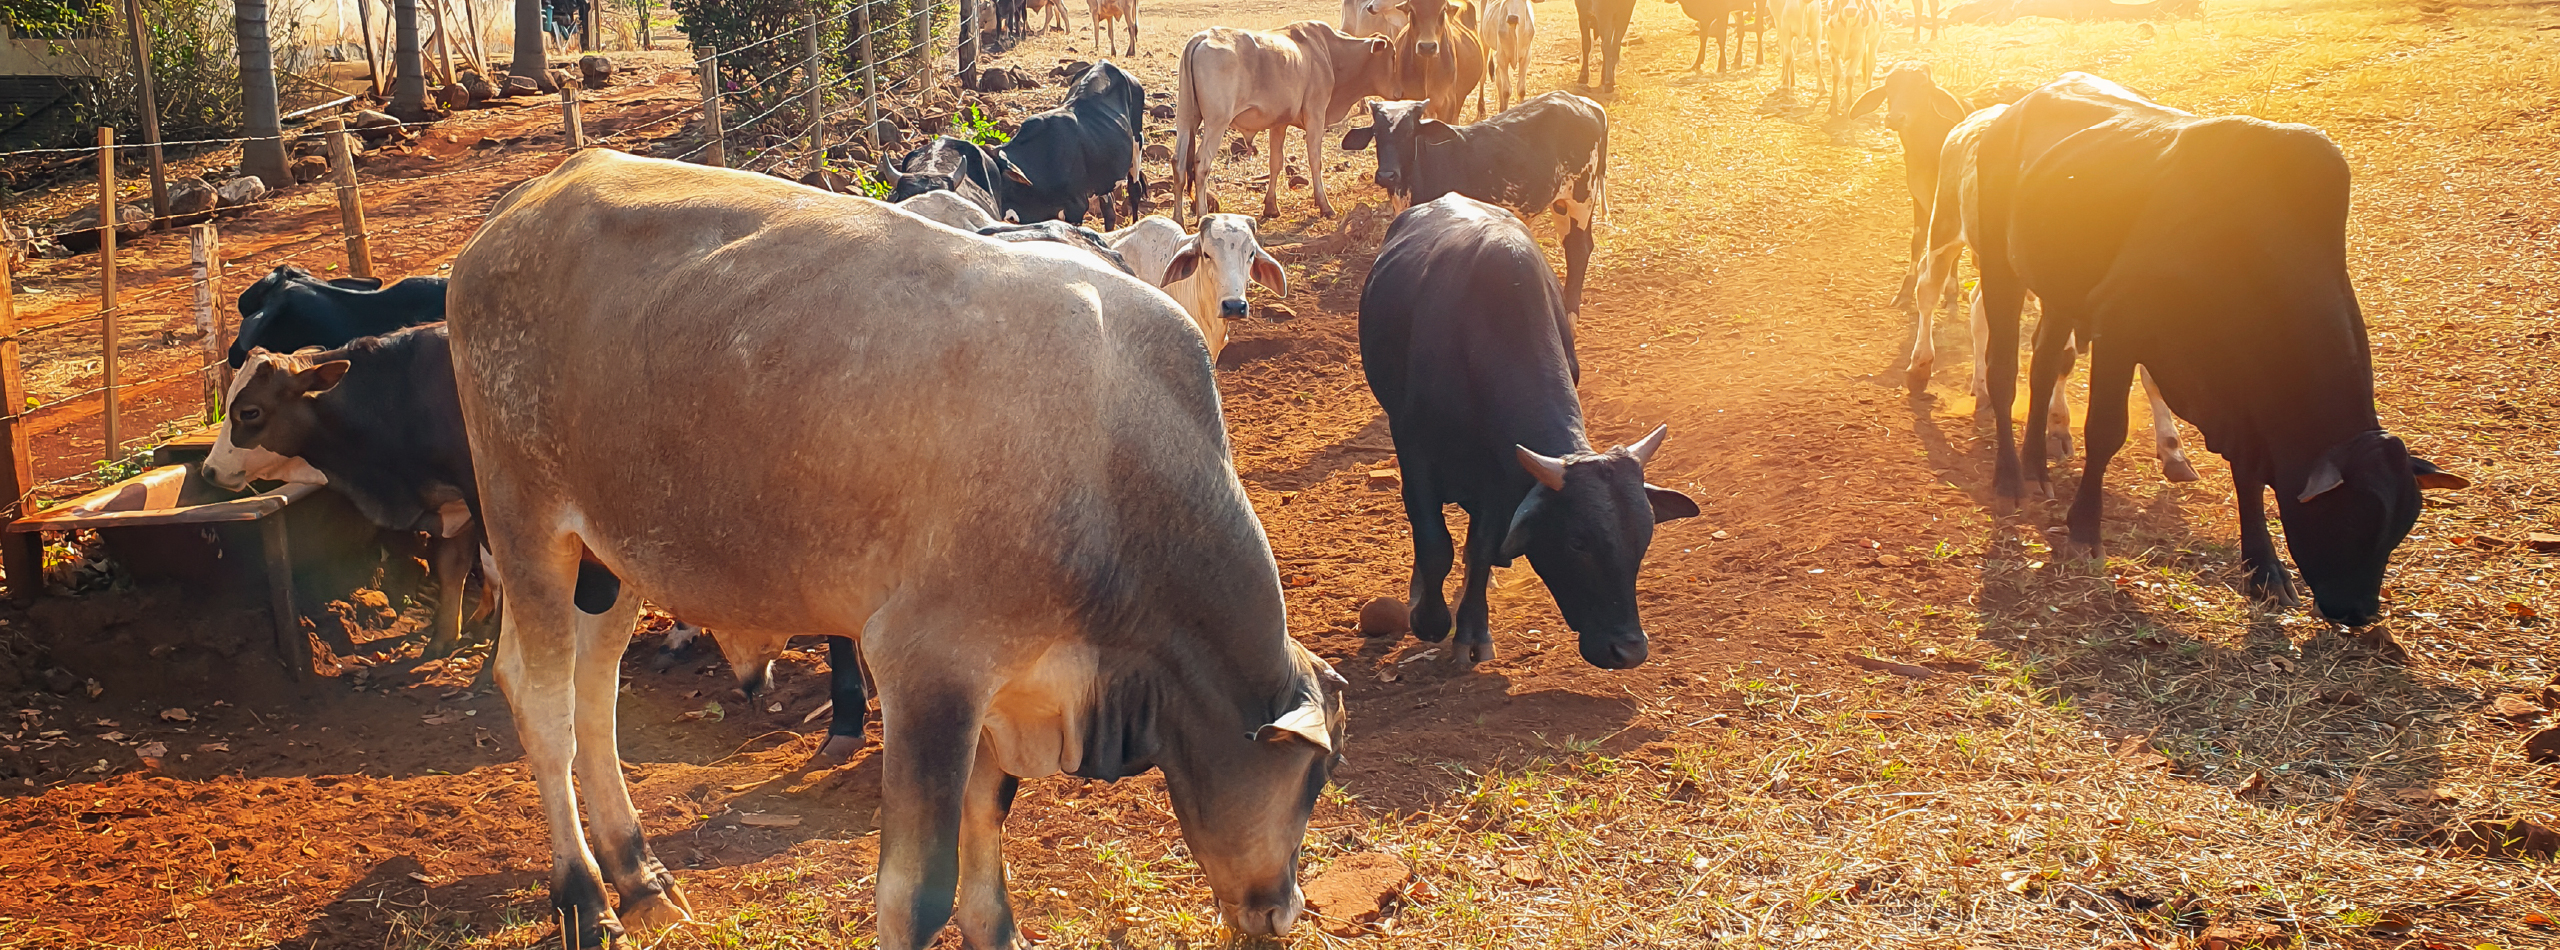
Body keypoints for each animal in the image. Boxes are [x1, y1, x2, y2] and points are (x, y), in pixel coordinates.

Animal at [1172, 22, 1399, 218]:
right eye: (1393, 55)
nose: (1400, 91)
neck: (1330, 53)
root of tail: (1202, 37)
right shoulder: (1316, 114)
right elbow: (1315, 160)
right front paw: (1324, 205)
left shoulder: (1279, 123)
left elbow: (1276, 163)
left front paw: (1271, 206)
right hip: (1216, 122)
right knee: (1201, 164)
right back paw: (1202, 216)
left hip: (1185, 119)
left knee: (1178, 163)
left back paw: (1178, 219)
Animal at [1341, 92, 1608, 317]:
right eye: (1377, 133)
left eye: (1409, 132)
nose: (1386, 175)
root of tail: (1586, 104)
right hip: (1561, 203)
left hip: (1582, 197)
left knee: (1580, 249)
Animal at [1360, 194, 1697, 669]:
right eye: (1577, 542)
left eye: (1644, 538)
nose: (1629, 650)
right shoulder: (1414, 452)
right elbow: (1434, 542)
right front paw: (1429, 619)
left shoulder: (1500, 478)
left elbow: (1480, 549)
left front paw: (1473, 630)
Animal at [1903, 102, 2200, 484]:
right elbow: (2061, 358)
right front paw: (2056, 429)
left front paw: (2172, 450)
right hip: (1945, 227)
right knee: (1928, 290)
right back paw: (1920, 364)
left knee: (1979, 310)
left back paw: (1982, 390)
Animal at [1965, 72, 2464, 624]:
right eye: (2351, 519)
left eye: (2400, 530)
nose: (2357, 611)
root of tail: (2012, 110)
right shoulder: (2118, 329)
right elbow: (2106, 433)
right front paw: (2084, 531)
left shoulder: (2240, 394)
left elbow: (2248, 471)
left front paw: (2265, 569)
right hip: (2000, 266)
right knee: (2004, 372)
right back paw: (2011, 479)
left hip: (2057, 290)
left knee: (2043, 363)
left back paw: (2036, 468)